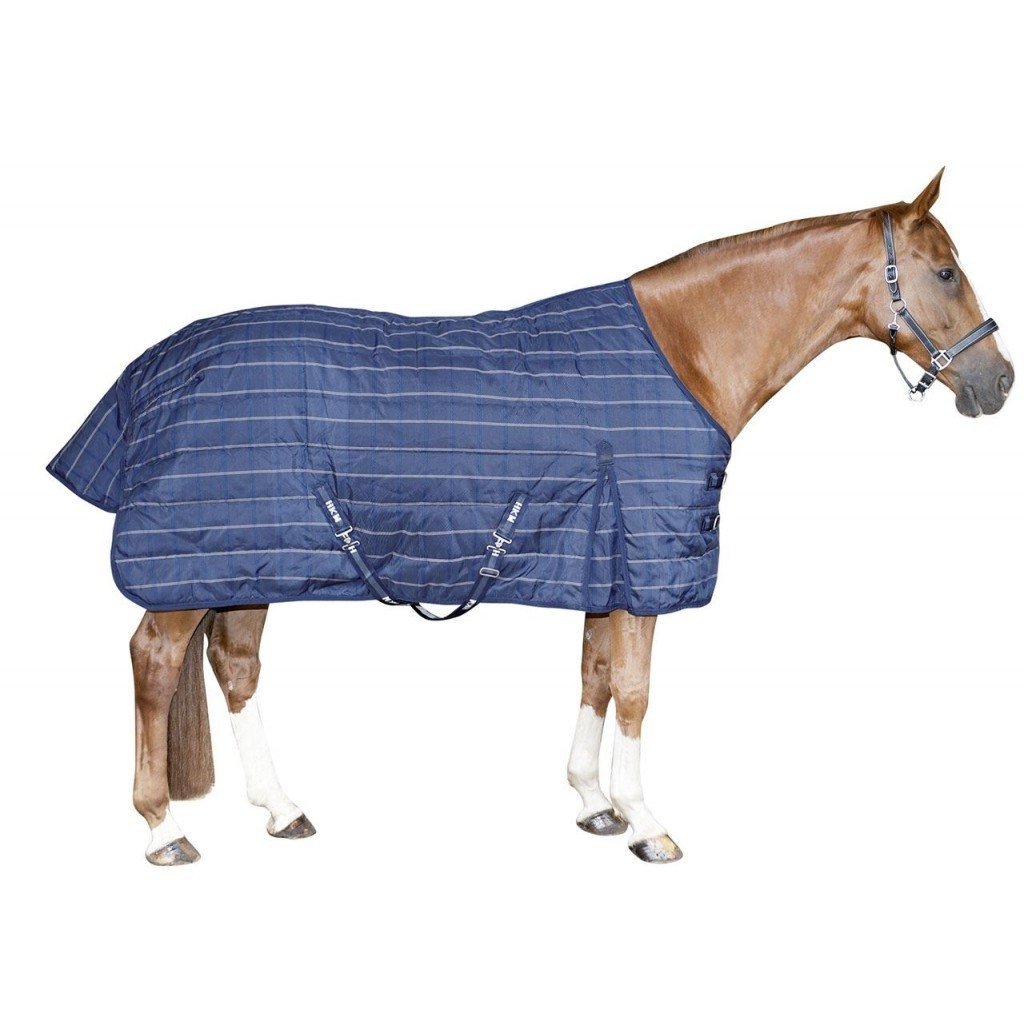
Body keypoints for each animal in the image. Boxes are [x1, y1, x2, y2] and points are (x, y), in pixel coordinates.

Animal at [48, 170, 1013, 865]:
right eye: (944, 270)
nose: (998, 381)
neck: (686, 353)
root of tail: (156, 366)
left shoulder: (602, 559)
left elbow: (594, 676)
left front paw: (593, 803)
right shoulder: (643, 565)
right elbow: (635, 691)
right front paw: (646, 822)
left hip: (249, 562)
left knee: (236, 668)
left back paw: (283, 811)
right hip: (192, 568)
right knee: (156, 663)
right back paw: (162, 830)